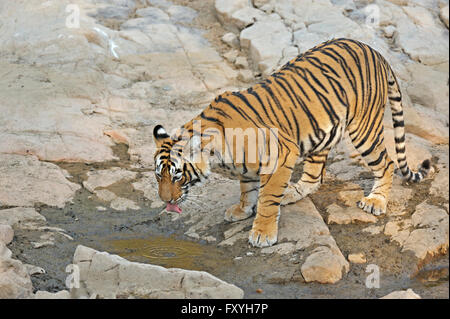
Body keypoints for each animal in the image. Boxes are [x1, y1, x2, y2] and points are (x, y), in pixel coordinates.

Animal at [153, 37, 430, 248]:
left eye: (177, 175)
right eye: (158, 175)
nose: (165, 202)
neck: (216, 156)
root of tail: (374, 50)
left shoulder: (280, 155)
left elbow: (266, 199)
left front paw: (262, 233)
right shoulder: (250, 166)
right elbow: (247, 189)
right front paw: (242, 210)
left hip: (364, 129)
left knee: (386, 163)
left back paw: (376, 201)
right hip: (323, 131)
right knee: (315, 175)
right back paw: (293, 192)